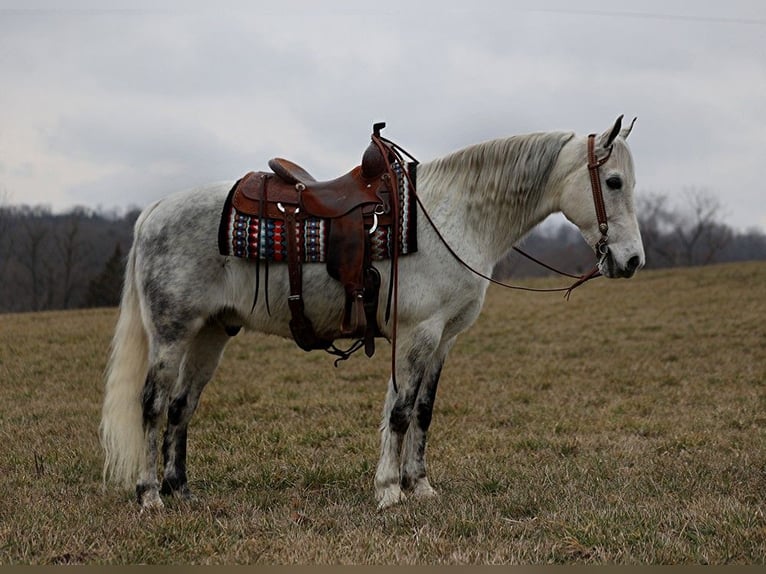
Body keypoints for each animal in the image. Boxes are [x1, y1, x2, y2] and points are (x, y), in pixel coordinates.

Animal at [99, 115, 644, 510]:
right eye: (614, 181)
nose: (633, 261)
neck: (452, 215)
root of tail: (154, 211)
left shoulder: (442, 339)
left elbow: (421, 410)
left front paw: (419, 485)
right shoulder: (417, 333)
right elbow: (400, 412)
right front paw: (389, 491)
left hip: (210, 334)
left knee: (181, 406)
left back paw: (182, 491)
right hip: (171, 333)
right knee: (152, 404)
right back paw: (150, 496)